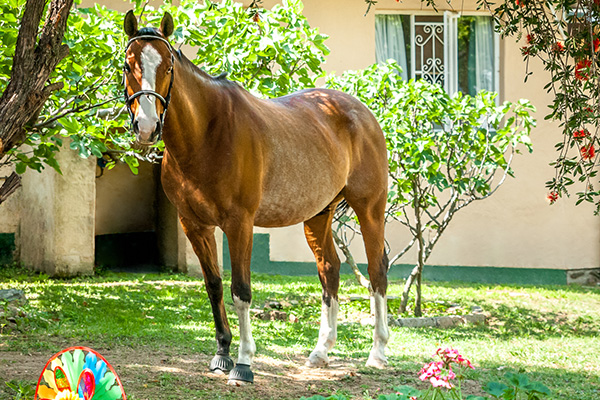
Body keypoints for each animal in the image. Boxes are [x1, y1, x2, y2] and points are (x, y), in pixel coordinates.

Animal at [124, 11, 392, 384]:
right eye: (128, 64)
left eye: (167, 67)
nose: (147, 127)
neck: (207, 132)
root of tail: (362, 112)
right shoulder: (194, 225)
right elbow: (214, 286)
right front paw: (222, 354)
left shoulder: (240, 224)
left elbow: (241, 290)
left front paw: (244, 363)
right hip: (318, 215)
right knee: (330, 269)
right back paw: (321, 352)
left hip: (370, 209)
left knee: (377, 270)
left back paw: (378, 352)